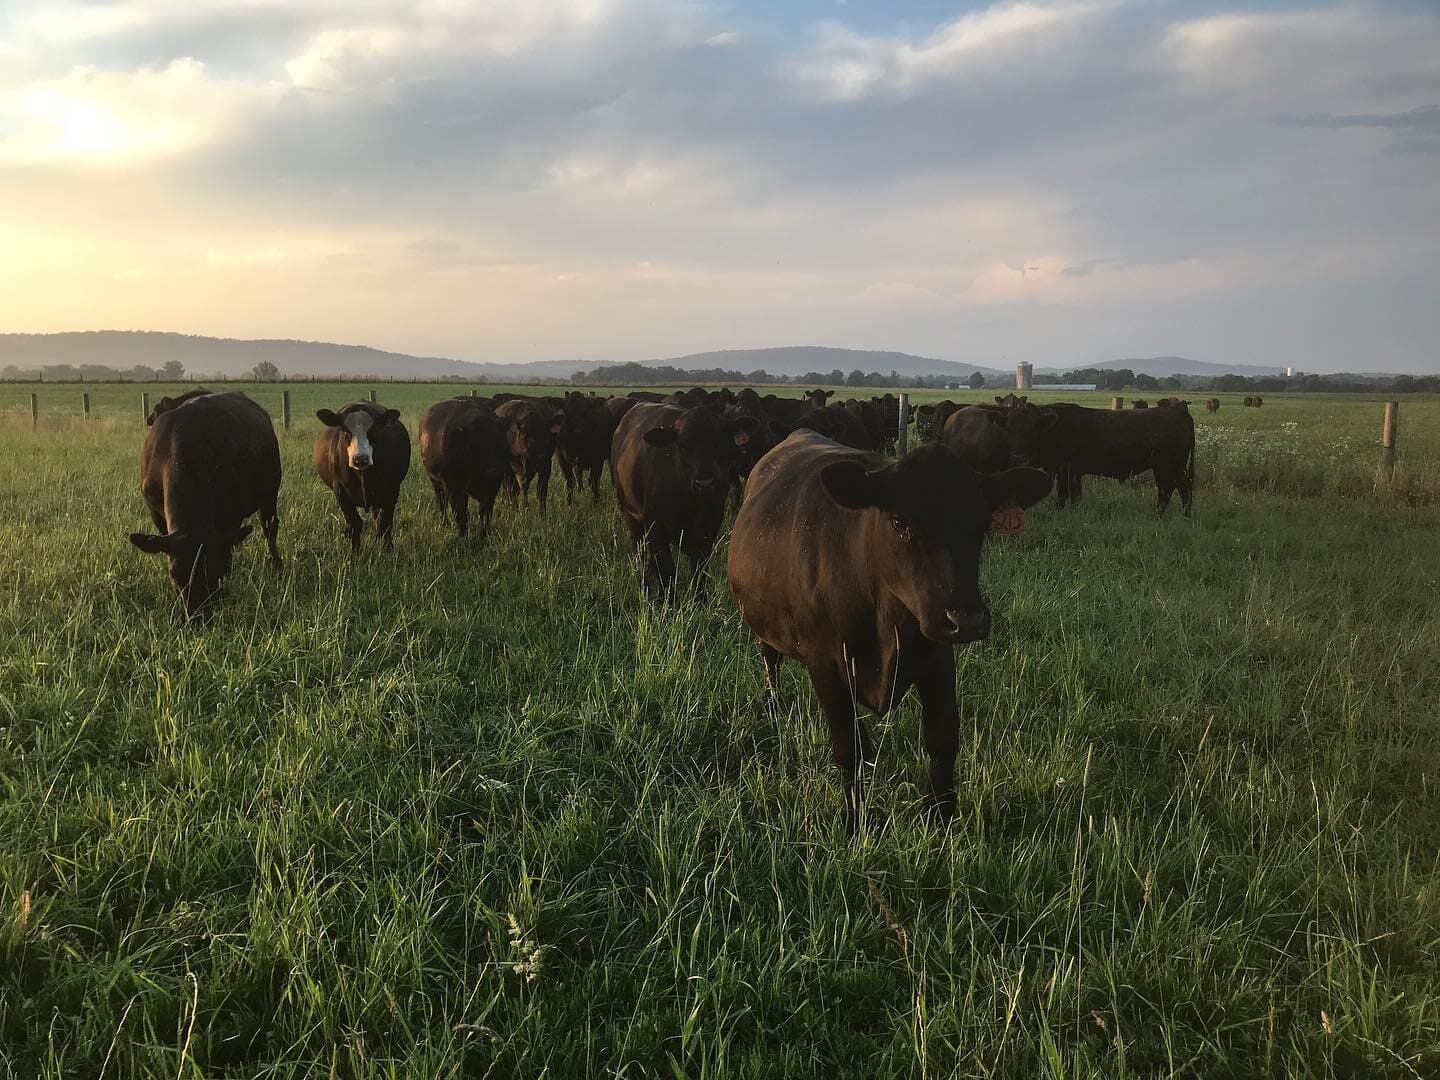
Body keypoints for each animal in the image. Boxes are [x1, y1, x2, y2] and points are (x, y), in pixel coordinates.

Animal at [129, 391, 282, 617]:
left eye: (218, 571)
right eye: (174, 574)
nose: (198, 615)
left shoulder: (229, 516)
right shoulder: (156, 515)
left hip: (269, 496)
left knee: (270, 530)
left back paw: (276, 564)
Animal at [313, 402, 410, 553]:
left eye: (374, 429)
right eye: (345, 430)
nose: (360, 459)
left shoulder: (392, 490)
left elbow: (385, 522)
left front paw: (388, 549)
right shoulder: (341, 492)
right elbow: (355, 523)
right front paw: (355, 552)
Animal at [419, 397, 509, 538]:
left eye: (500, 442)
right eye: (474, 446)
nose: (492, 470)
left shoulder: (492, 487)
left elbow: (485, 512)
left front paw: (484, 534)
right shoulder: (453, 485)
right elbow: (460, 513)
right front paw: (462, 536)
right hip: (435, 481)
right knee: (442, 503)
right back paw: (444, 524)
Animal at [611, 402, 757, 599]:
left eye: (720, 443)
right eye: (683, 446)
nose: (705, 483)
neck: (690, 503)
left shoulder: (709, 528)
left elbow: (698, 571)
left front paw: (700, 600)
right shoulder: (656, 528)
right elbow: (667, 571)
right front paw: (667, 601)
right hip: (629, 514)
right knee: (639, 553)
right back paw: (645, 588)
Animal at [728, 432, 1051, 826]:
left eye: (983, 525)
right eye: (900, 523)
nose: (966, 620)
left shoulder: (939, 656)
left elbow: (942, 737)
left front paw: (941, 816)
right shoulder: (826, 664)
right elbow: (848, 747)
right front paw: (855, 821)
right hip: (765, 626)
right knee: (770, 659)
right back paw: (773, 705)